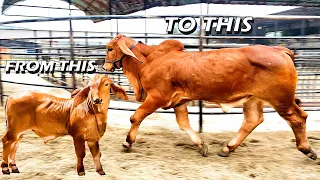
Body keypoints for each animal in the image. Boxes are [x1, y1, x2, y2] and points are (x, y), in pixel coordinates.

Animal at [1, 74, 129, 176]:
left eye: (106, 84)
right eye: (90, 87)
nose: (97, 100)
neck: (94, 113)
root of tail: (11, 96)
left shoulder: (93, 138)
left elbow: (96, 154)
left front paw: (100, 171)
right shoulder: (78, 136)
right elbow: (81, 154)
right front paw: (81, 171)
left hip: (19, 132)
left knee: (15, 145)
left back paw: (14, 167)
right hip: (14, 130)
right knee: (6, 142)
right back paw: (5, 168)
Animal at [103, 34, 318, 161]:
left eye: (109, 48)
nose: (104, 65)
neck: (148, 60)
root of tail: (280, 50)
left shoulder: (157, 97)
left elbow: (136, 117)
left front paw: (127, 143)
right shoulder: (178, 102)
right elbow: (184, 124)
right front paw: (200, 145)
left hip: (281, 100)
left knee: (298, 118)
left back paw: (307, 149)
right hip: (254, 99)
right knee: (252, 120)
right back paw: (227, 148)